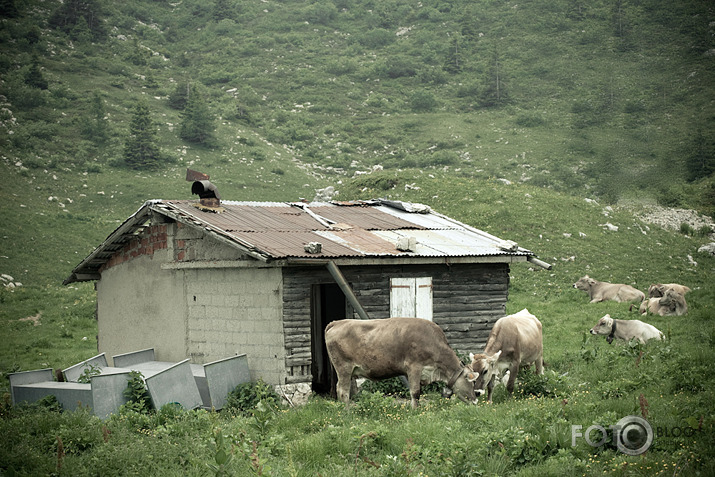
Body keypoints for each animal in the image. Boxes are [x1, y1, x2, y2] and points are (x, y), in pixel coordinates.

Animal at [328, 318, 478, 408]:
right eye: (472, 382)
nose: (476, 400)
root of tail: (337, 322)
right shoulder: (414, 367)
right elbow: (415, 392)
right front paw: (415, 411)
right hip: (344, 368)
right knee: (343, 391)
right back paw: (347, 412)